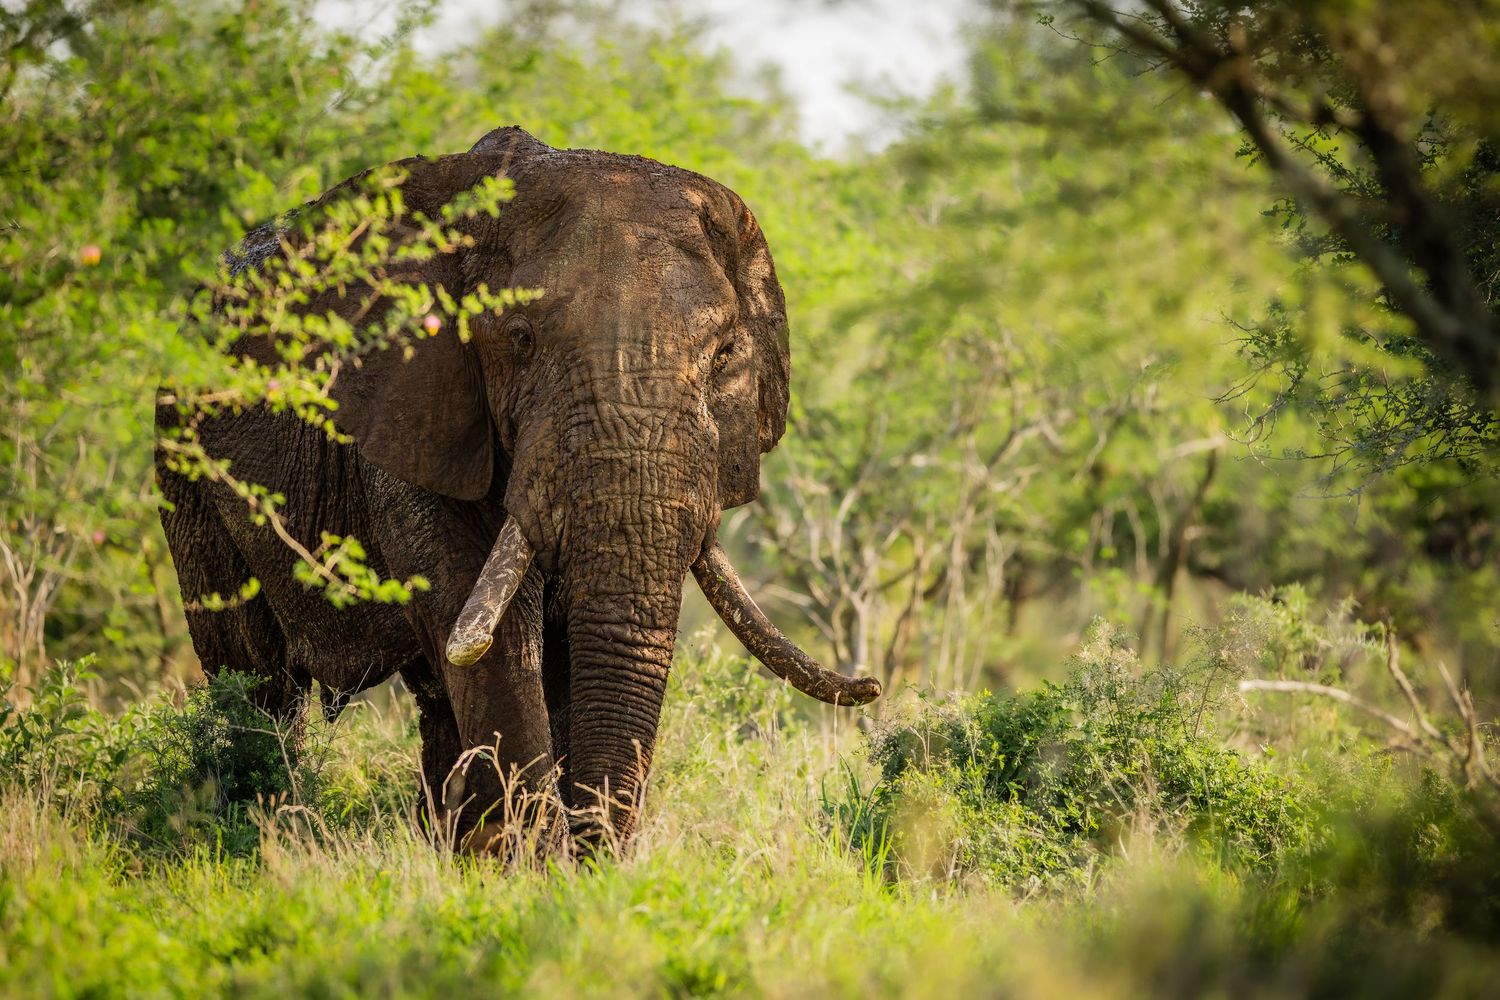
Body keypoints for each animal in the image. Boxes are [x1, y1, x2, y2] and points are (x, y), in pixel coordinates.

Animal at [155, 125, 880, 852]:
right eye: (520, 338)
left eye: (725, 353)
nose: (872, 684)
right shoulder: (416, 408)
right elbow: (482, 623)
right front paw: (538, 864)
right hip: (183, 456)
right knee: (254, 677)